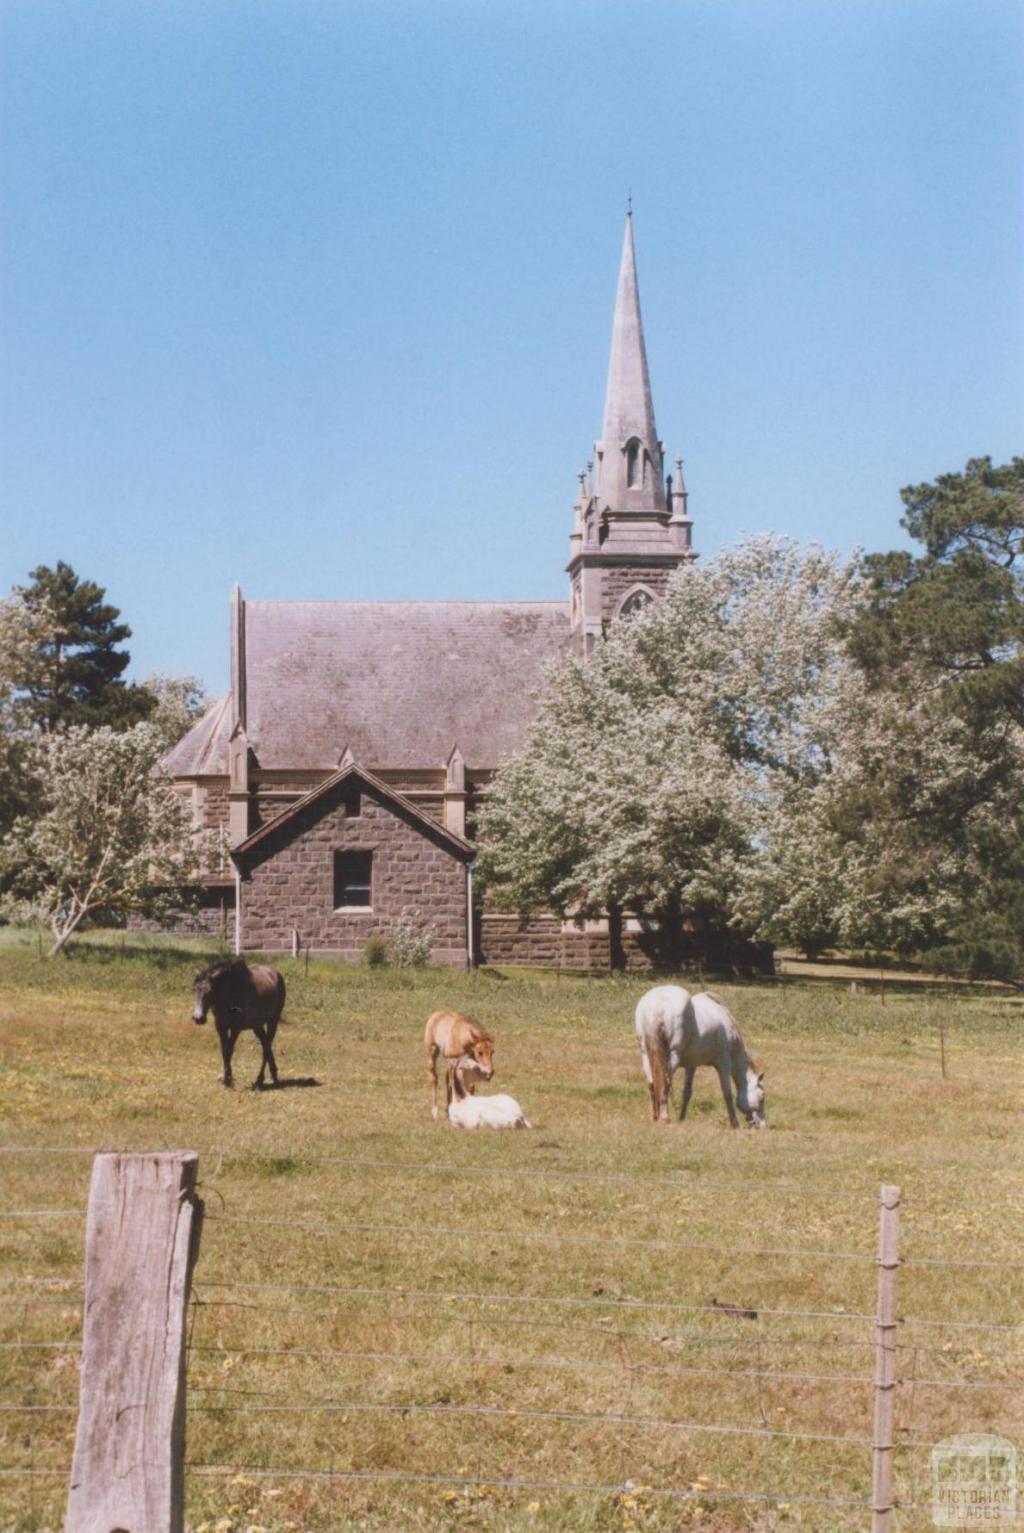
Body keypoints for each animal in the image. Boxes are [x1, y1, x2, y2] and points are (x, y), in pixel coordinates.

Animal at [191, 956, 286, 1091]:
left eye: (210, 991)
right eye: (194, 989)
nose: (198, 1018)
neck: (229, 994)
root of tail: (276, 974)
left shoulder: (236, 1028)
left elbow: (229, 1050)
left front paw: (228, 1080)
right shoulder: (221, 1027)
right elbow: (224, 1051)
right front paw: (227, 1079)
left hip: (273, 1021)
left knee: (267, 1047)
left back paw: (260, 1079)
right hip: (257, 1026)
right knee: (265, 1044)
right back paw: (273, 1075)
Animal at [634, 981, 763, 1128]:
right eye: (762, 1098)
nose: (760, 1126)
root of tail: (656, 1003)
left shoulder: (691, 1066)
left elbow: (687, 1093)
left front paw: (682, 1118)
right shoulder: (724, 1064)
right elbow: (727, 1093)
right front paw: (734, 1123)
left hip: (646, 1055)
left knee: (652, 1084)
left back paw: (655, 1117)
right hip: (671, 1059)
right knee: (664, 1082)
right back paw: (664, 1117)